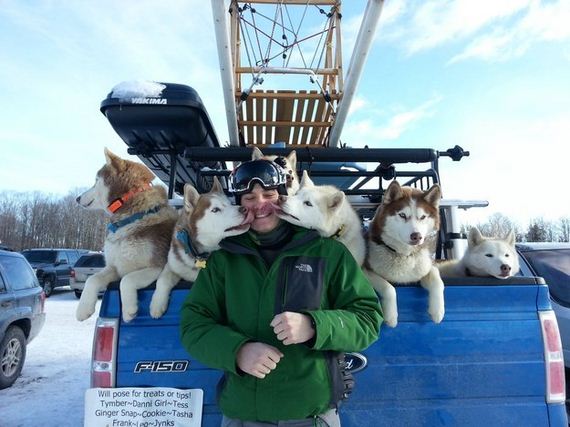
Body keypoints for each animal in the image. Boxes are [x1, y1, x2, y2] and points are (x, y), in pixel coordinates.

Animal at [75, 149, 176, 322]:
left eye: (96, 181)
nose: (77, 198)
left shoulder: (156, 266)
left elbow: (126, 281)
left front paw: (129, 310)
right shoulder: (115, 268)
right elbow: (92, 279)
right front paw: (83, 309)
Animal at [149, 177, 251, 318]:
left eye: (230, 204)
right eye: (215, 210)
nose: (245, 209)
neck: (199, 254)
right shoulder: (174, 264)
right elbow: (162, 280)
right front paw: (157, 304)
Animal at [364, 181, 444, 328]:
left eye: (422, 217)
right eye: (402, 215)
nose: (416, 236)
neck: (404, 254)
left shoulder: (424, 268)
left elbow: (437, 280)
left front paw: (437, 311)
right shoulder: (365, 270)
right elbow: (389, 288)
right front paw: (391, 316)